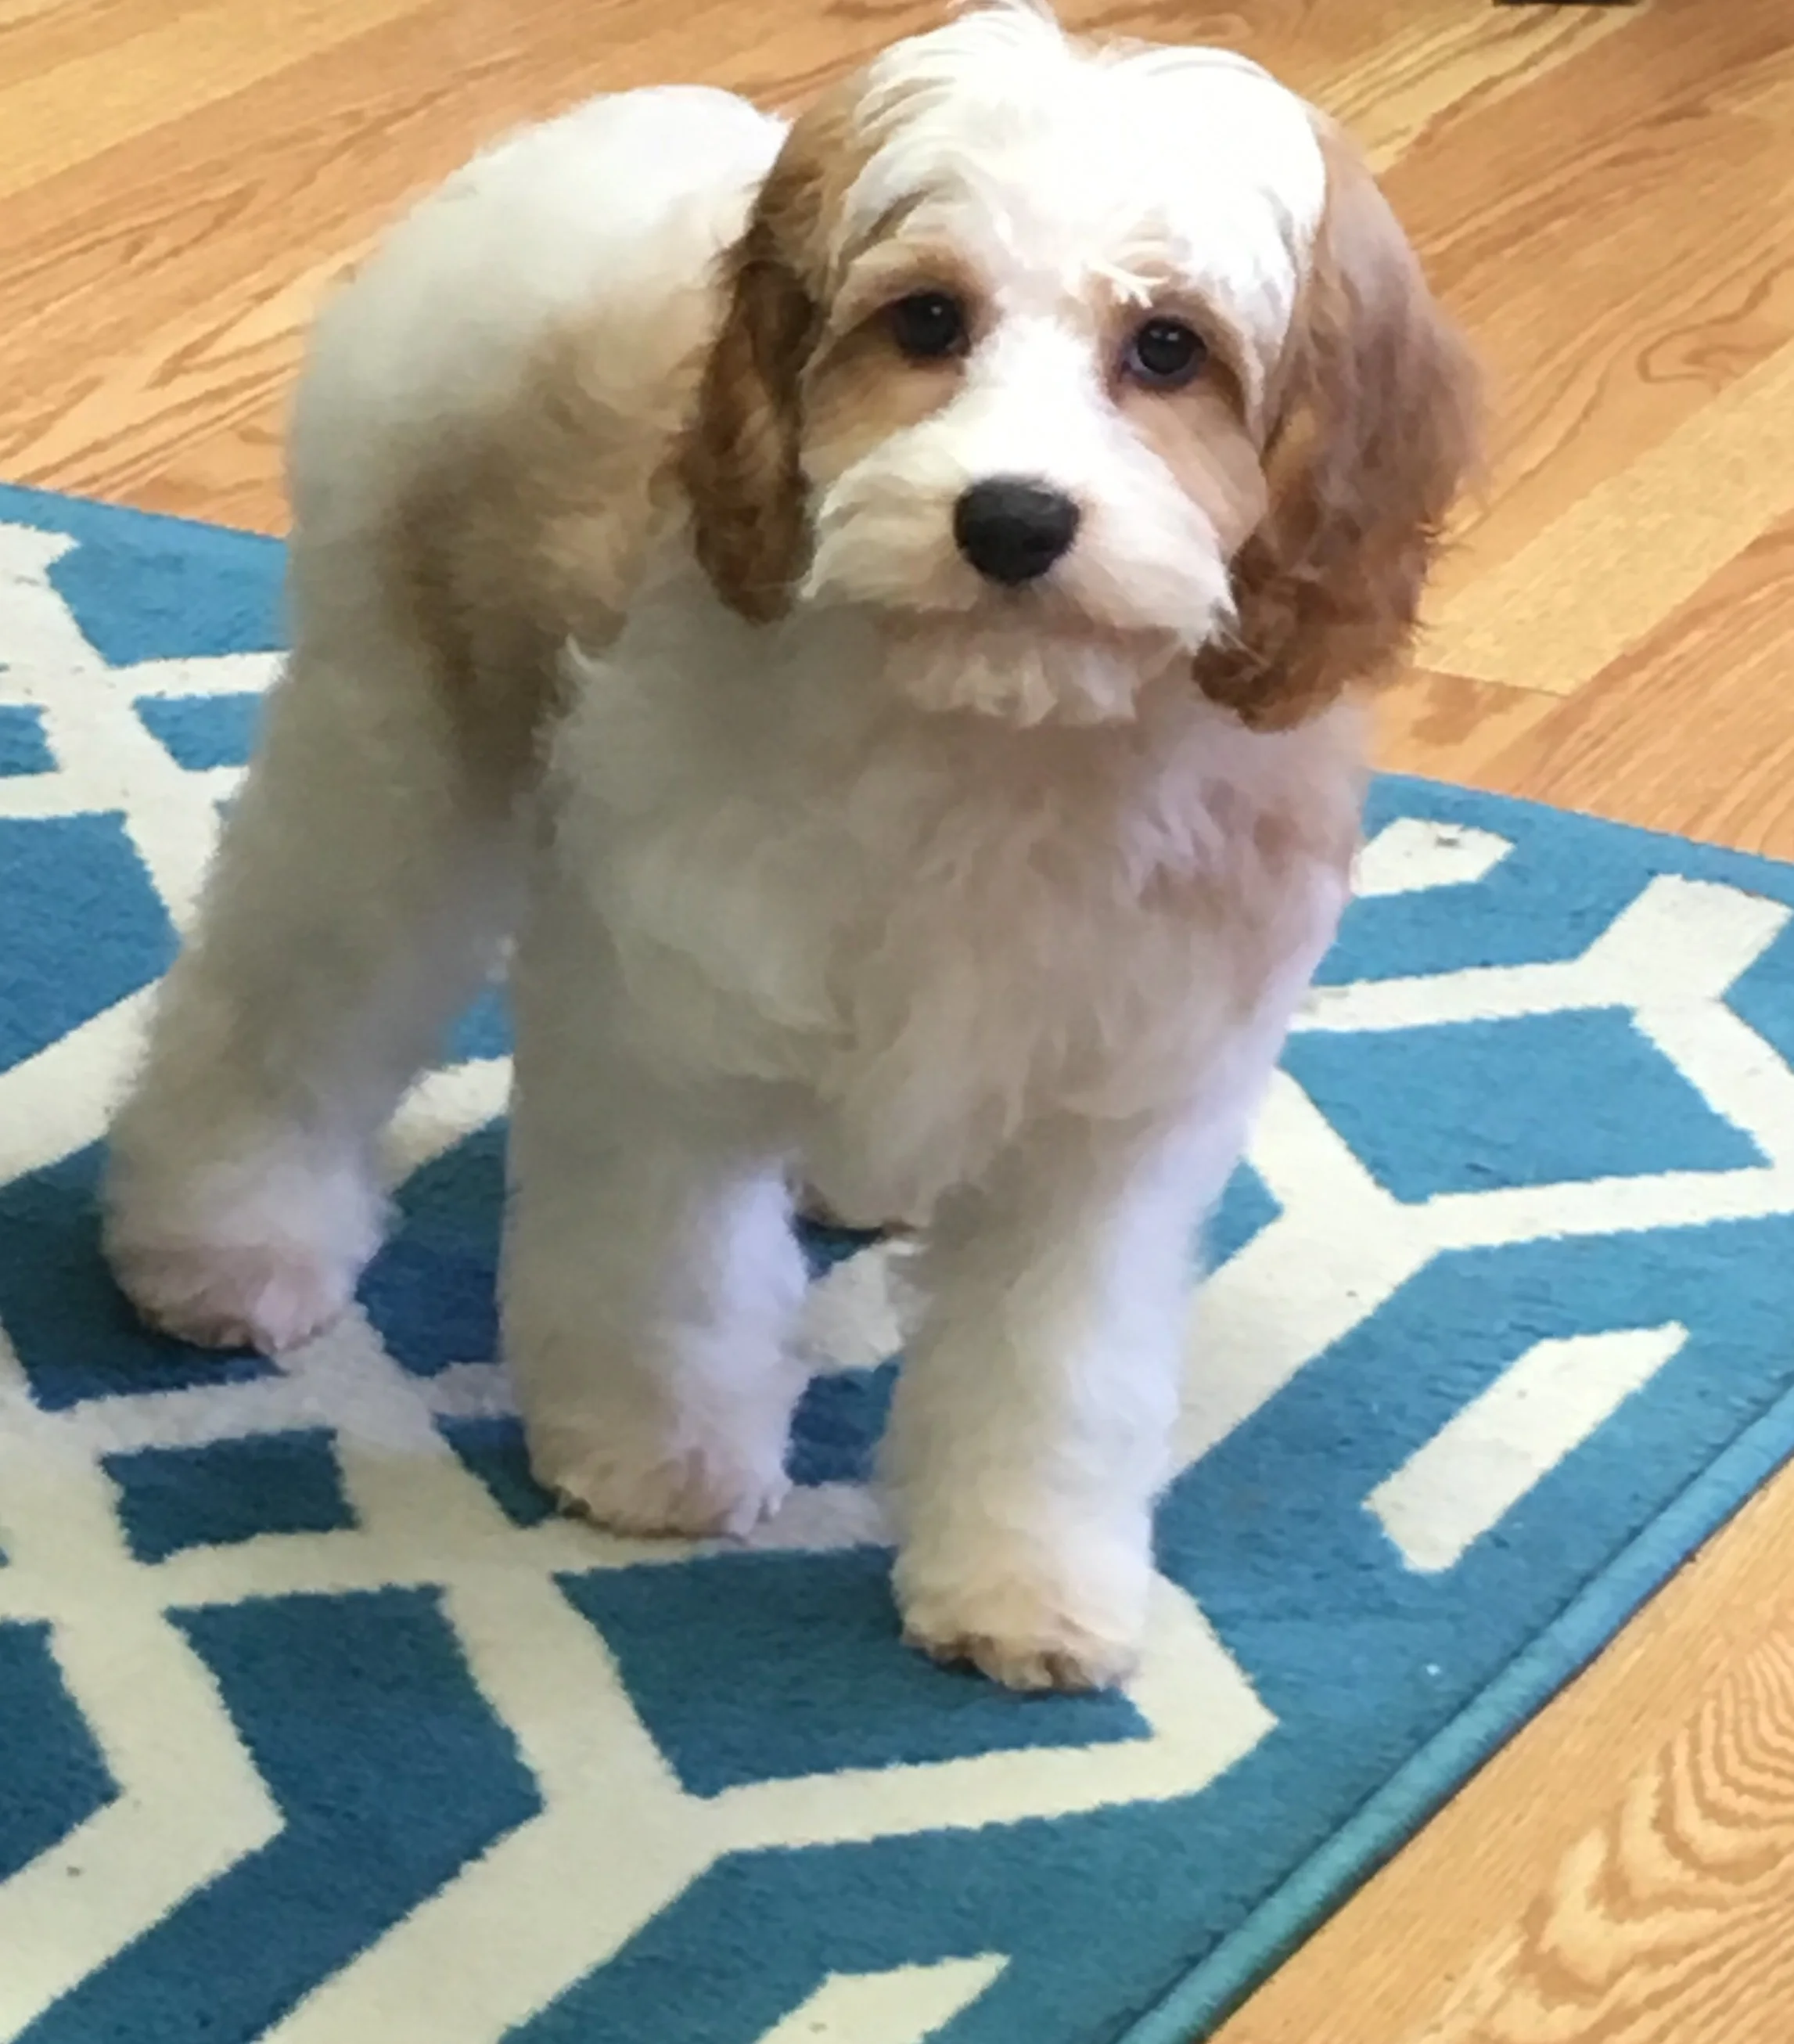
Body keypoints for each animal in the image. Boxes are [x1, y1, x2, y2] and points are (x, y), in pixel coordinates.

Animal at [98, 0, 1479, 1692]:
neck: (986, 733)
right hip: (398, 745)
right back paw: (220, 1241)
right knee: (289, 998)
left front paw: (1030, 1578)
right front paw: (656, 1458)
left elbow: (1059, 1363)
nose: (1010, 519)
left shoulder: (1118, 1105)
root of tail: (597, 125)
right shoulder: (661, 1001)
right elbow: (673, 1259)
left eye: (1168, 348)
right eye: (928, 320)